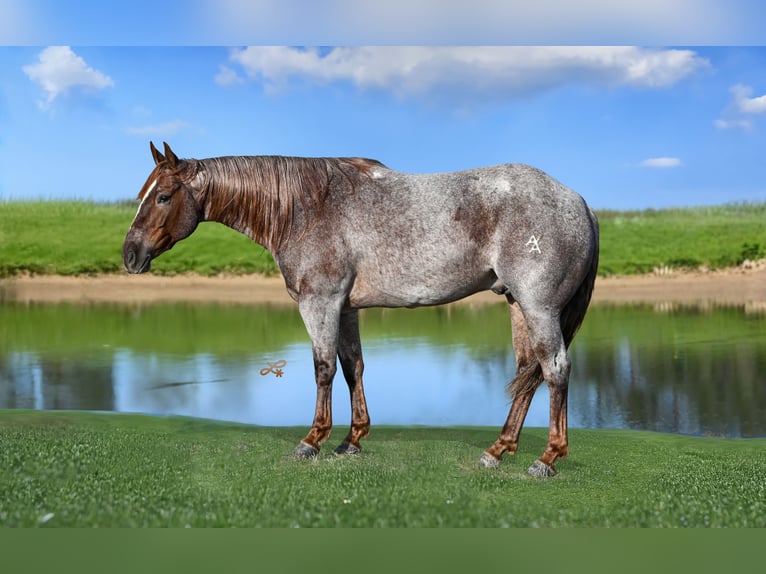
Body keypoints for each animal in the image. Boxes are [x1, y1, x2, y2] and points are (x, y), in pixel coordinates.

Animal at [122, 142, 599, 477]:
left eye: (163, 196)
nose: (130, 255)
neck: (306, 209)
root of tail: (578, 199)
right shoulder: (346, 308)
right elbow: (353, 366)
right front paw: (351, 440)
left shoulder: (320, 302)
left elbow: (323, 369)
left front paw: (312, 440)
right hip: (518, 305)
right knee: (528, 372)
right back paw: (497, 451)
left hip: (538, 307)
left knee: (554, 369)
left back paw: (547, 459)